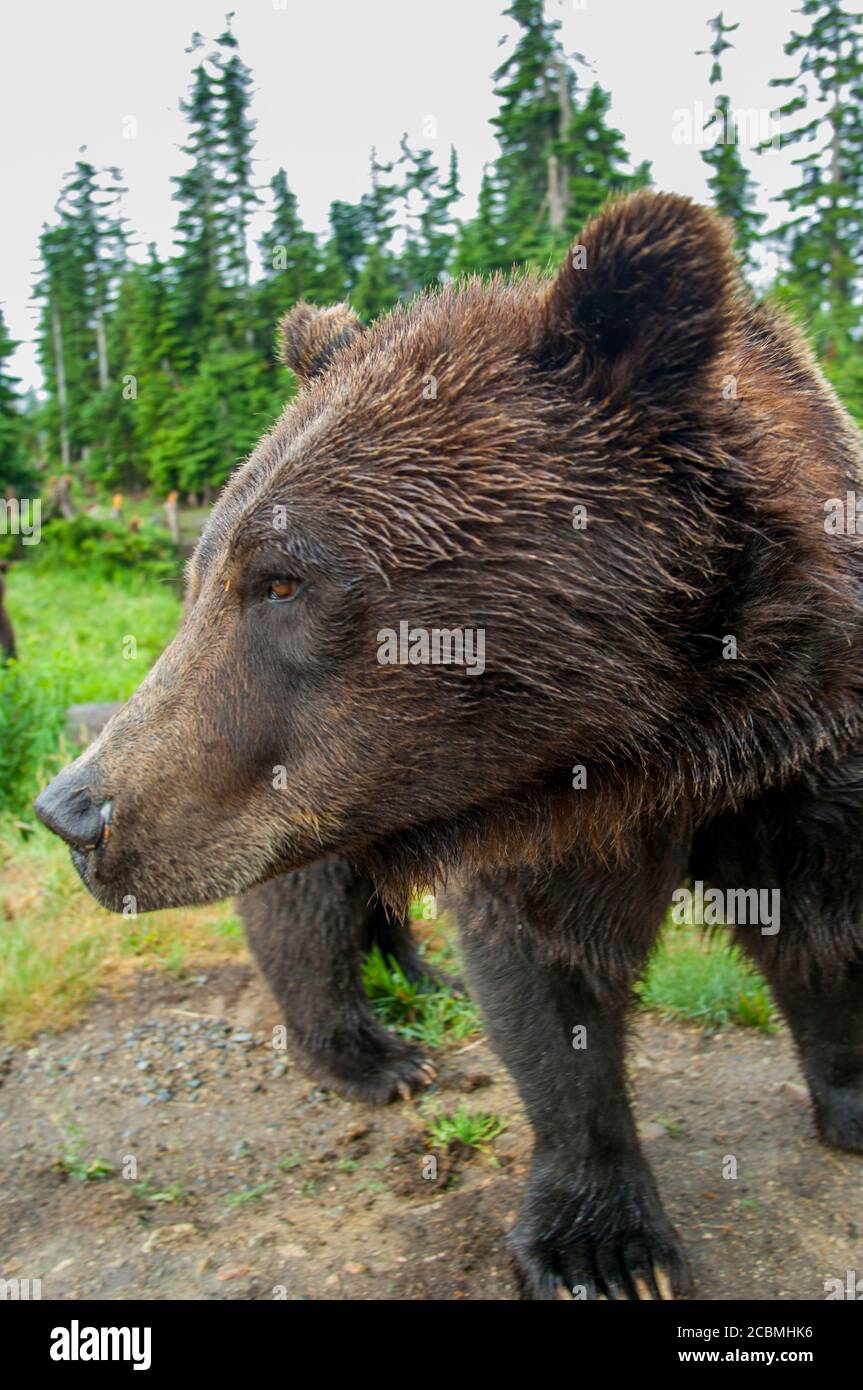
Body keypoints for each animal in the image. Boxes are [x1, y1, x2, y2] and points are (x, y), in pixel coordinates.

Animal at [36, 190, 863, 1300]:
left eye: (281, 579)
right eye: (214, 571)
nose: (75, 811)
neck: (681, 740)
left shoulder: (809, 761)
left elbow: (822, 932)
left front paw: (849, 1093)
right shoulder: (537, 807)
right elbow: (547, 983)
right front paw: (602, 1245)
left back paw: (421, 979)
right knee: (305, 901)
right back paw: (369, 1051)